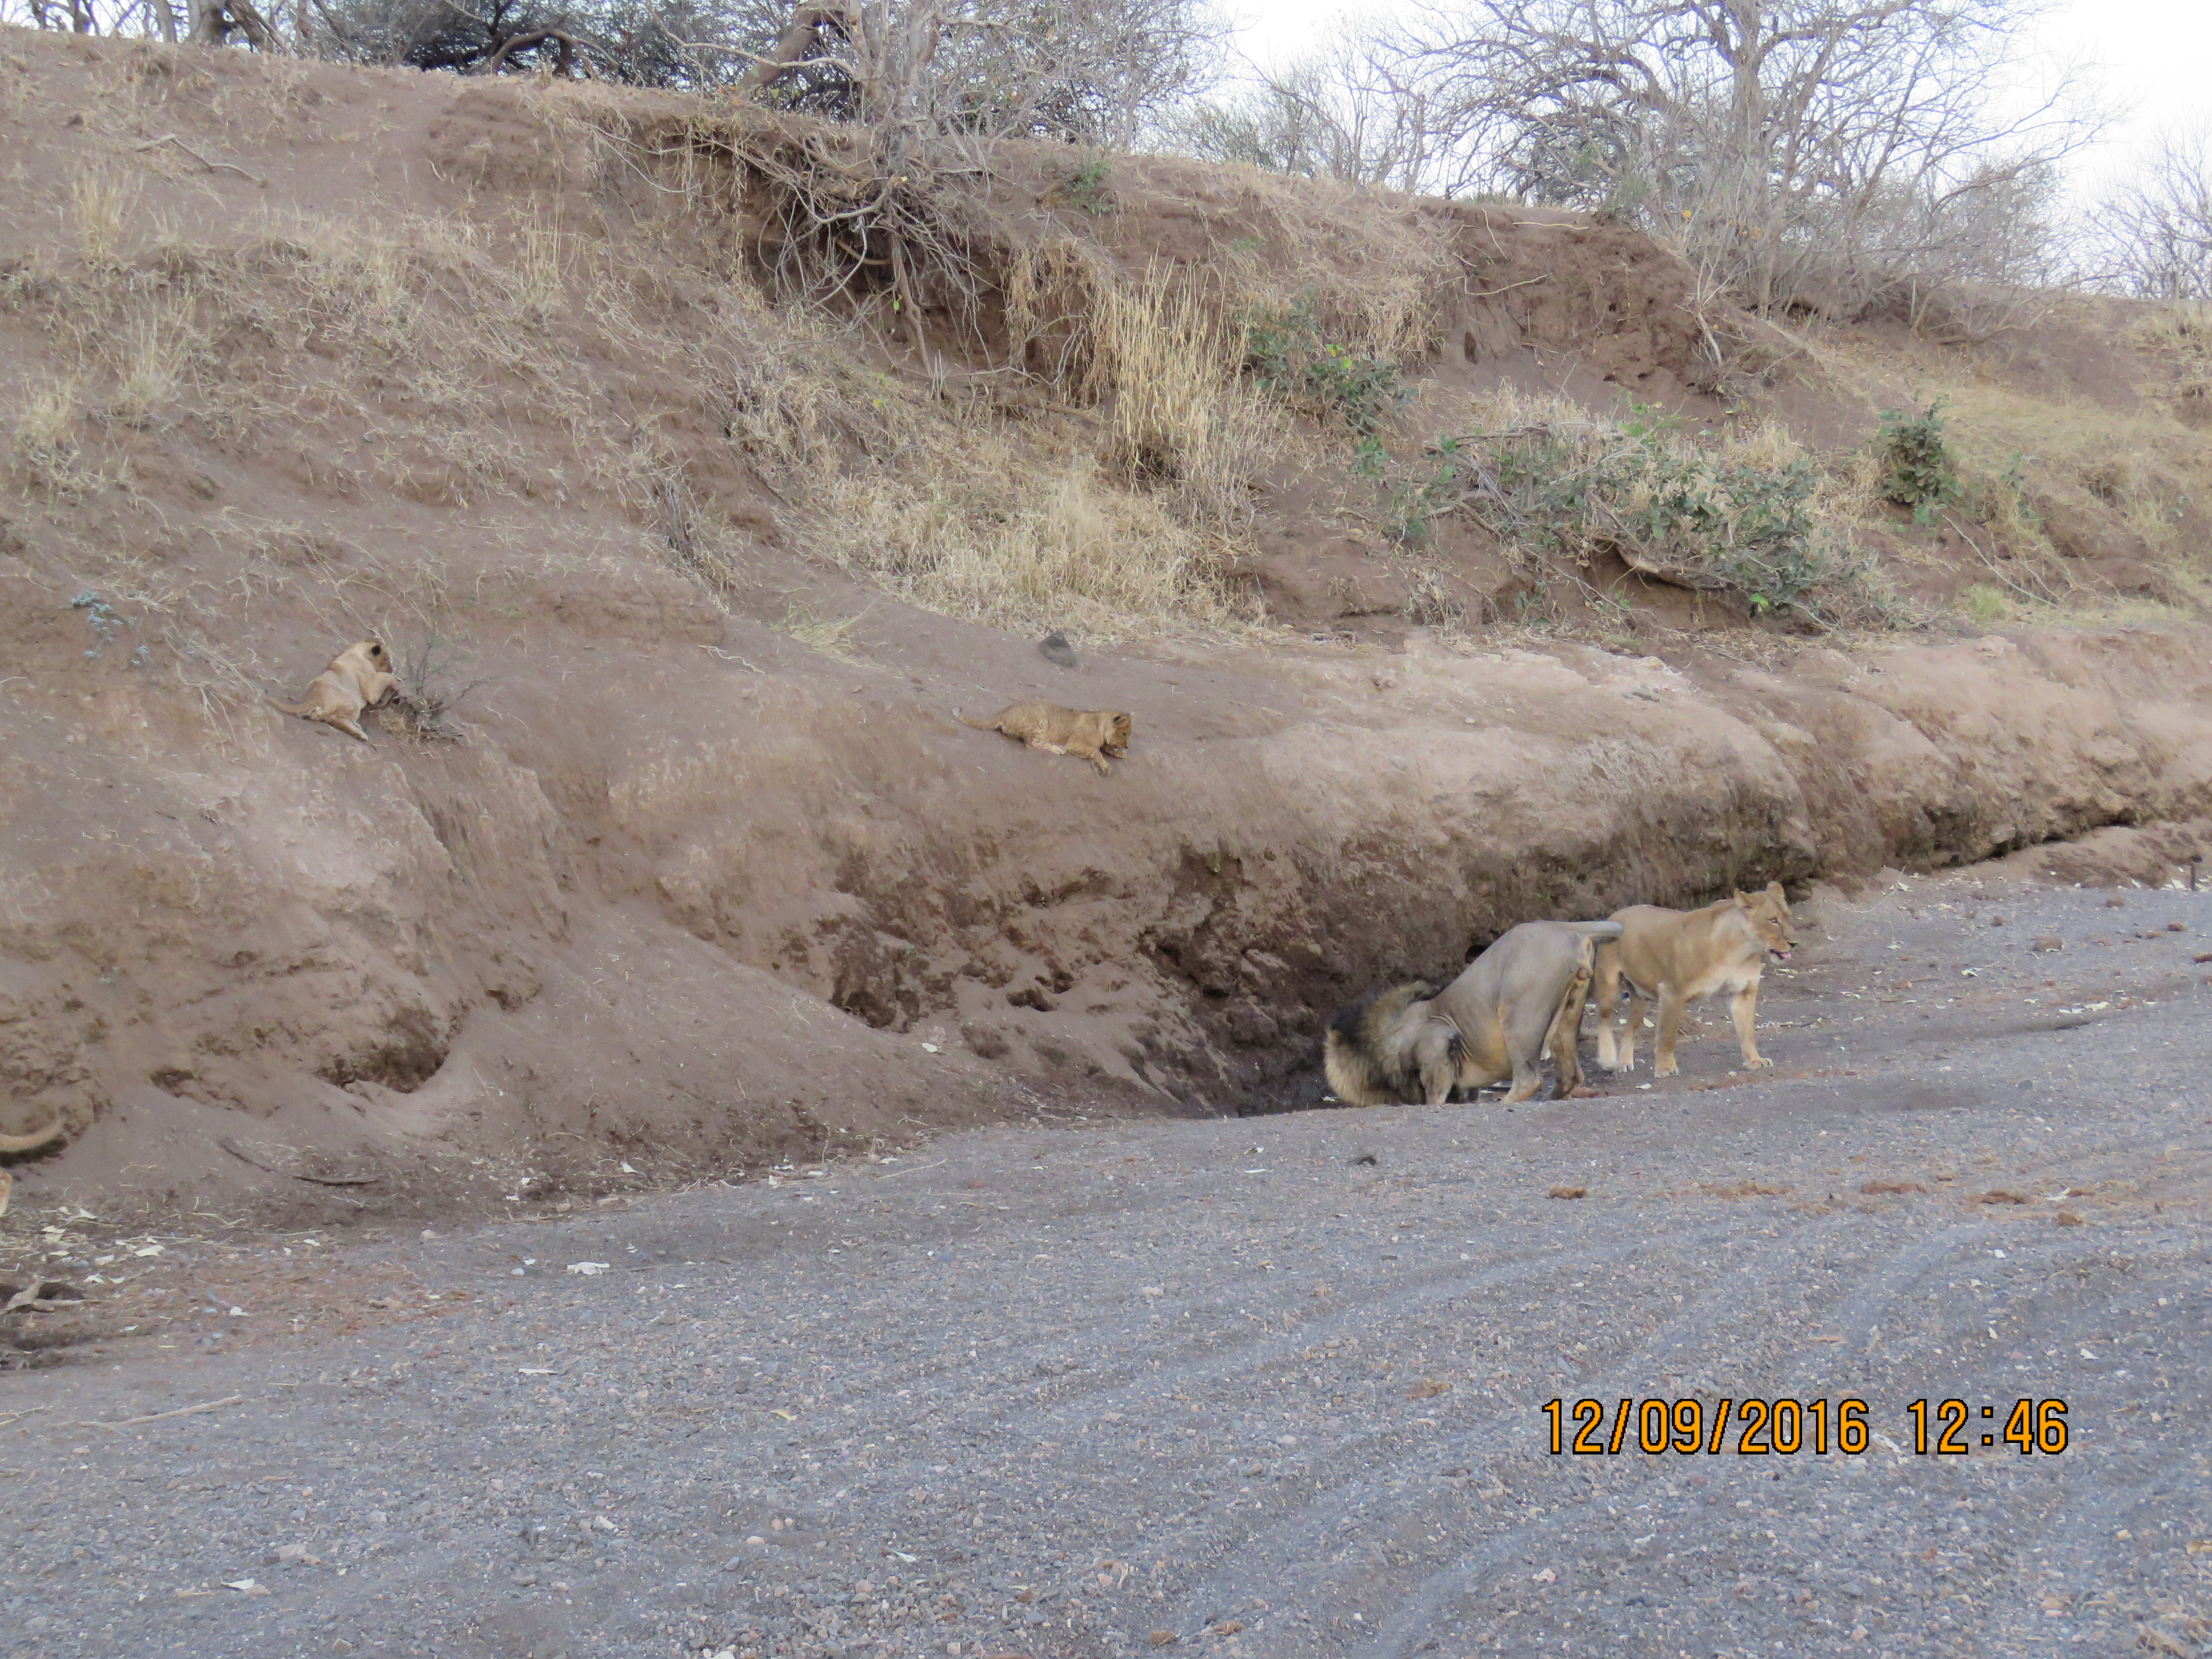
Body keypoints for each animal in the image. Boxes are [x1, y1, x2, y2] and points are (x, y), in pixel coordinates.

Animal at [270, 638, 396, 744]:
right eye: (387, 659)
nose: (391, 669)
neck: (356, 650)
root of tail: (312, 696)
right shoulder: (371, 690)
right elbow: (385, 678)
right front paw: (395, 680)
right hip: (351, 703)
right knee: (335, 718)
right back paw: (360, 734)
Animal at [955, 701, 1131, 775]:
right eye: (1124, 734)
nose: (1128, 747)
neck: (1100, 723)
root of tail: (1003, 713)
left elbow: (1105, 748)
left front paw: (1119, 753)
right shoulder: (1075, 744)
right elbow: (1096, 752)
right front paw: (1106, 766)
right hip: (1041, 721)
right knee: (1032, 745)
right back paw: (1058, 749)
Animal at [1324, 920, 1624, 1107]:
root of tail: (1568, 927)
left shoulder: (1439, 1036)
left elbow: (1435, 1089)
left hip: (1519, 1013)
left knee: (1528, 1079)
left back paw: (1505, 1102)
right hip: (1569, 1012)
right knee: (1570, 1074)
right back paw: (1553, 1098)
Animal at [1592, 882, 1797, 1078]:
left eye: (1789, 917)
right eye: (1773, 920)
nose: (1794, 943)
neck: (1741, 950)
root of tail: (1615, 915)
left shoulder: (1744, 993)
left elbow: (1747, 1031)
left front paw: (1754, 1060)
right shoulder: (1672, 992)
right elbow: (1667, 1036)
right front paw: (1665, 1068)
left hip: (1641, 999)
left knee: (1629, 1028)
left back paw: (1624, 1063)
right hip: (1609, 984)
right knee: (1603, 1020)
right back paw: (1608, 1060)